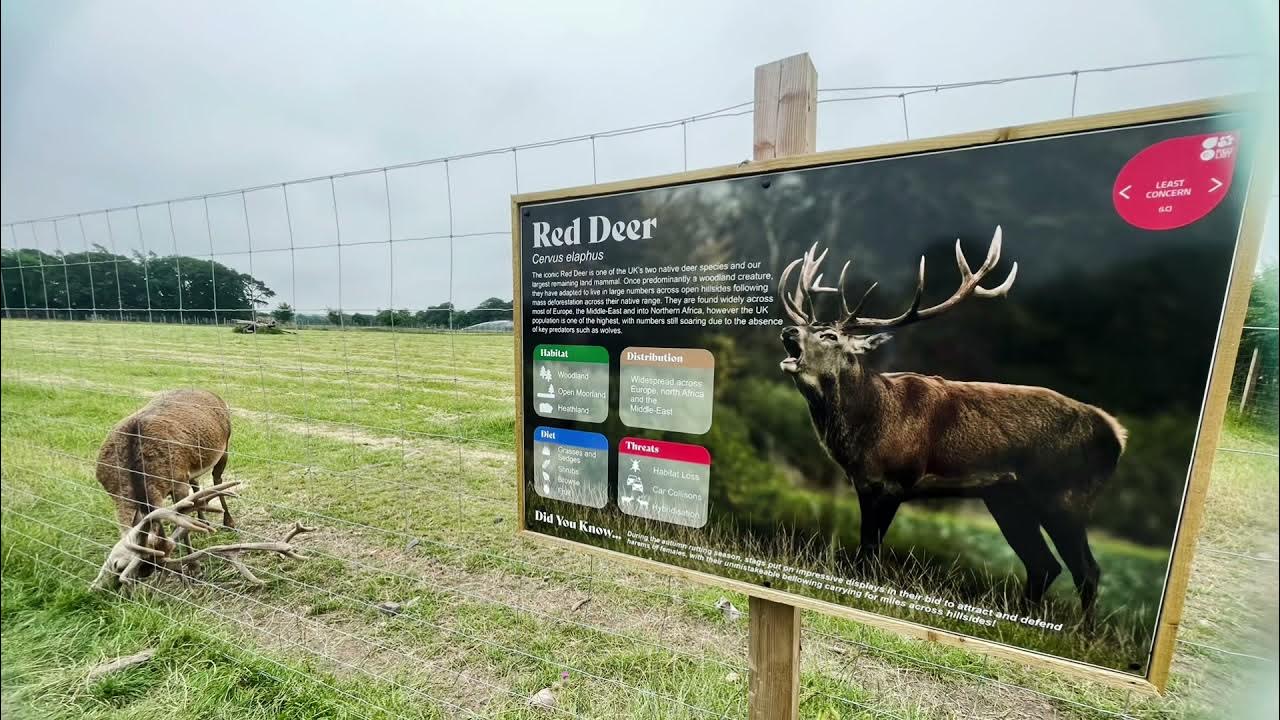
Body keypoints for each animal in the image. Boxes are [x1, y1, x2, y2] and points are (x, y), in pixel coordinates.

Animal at [96, 389, 236, 572]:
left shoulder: (179, 482)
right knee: (196, 484)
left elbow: (182, 525)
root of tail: (211, 393)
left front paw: (194, 567)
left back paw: (229, 522)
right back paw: (203, 519)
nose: (147, 573)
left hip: (225, 446)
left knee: (217, 480)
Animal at [776, 226, 1126, 619]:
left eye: (830, 335)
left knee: (1087, 569)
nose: (789, 331)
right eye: (807, 326)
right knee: (1044, 564)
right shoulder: (865, 484)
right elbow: (864, 550)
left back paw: (1081, 630)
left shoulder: (897, 481)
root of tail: (1117, 435)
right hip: (1007, 498)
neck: (869, 428)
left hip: (1066, 496)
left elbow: (870, 554)